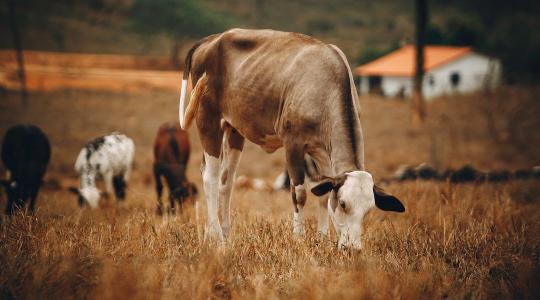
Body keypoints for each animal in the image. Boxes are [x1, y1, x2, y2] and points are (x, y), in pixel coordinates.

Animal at [179, 28, 402, 248]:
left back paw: (223, 235)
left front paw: (322, 238)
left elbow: (323, 195)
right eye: (343, 203)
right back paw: (215, 236)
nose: (353, 249)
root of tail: (211, 39)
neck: (326, 87)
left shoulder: (322, 153)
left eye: (369, 210)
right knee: (210, 178)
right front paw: (299, 237)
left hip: (234, 130)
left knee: (226, 181)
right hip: (207, 120)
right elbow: (300, 194)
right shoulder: (293, 144)